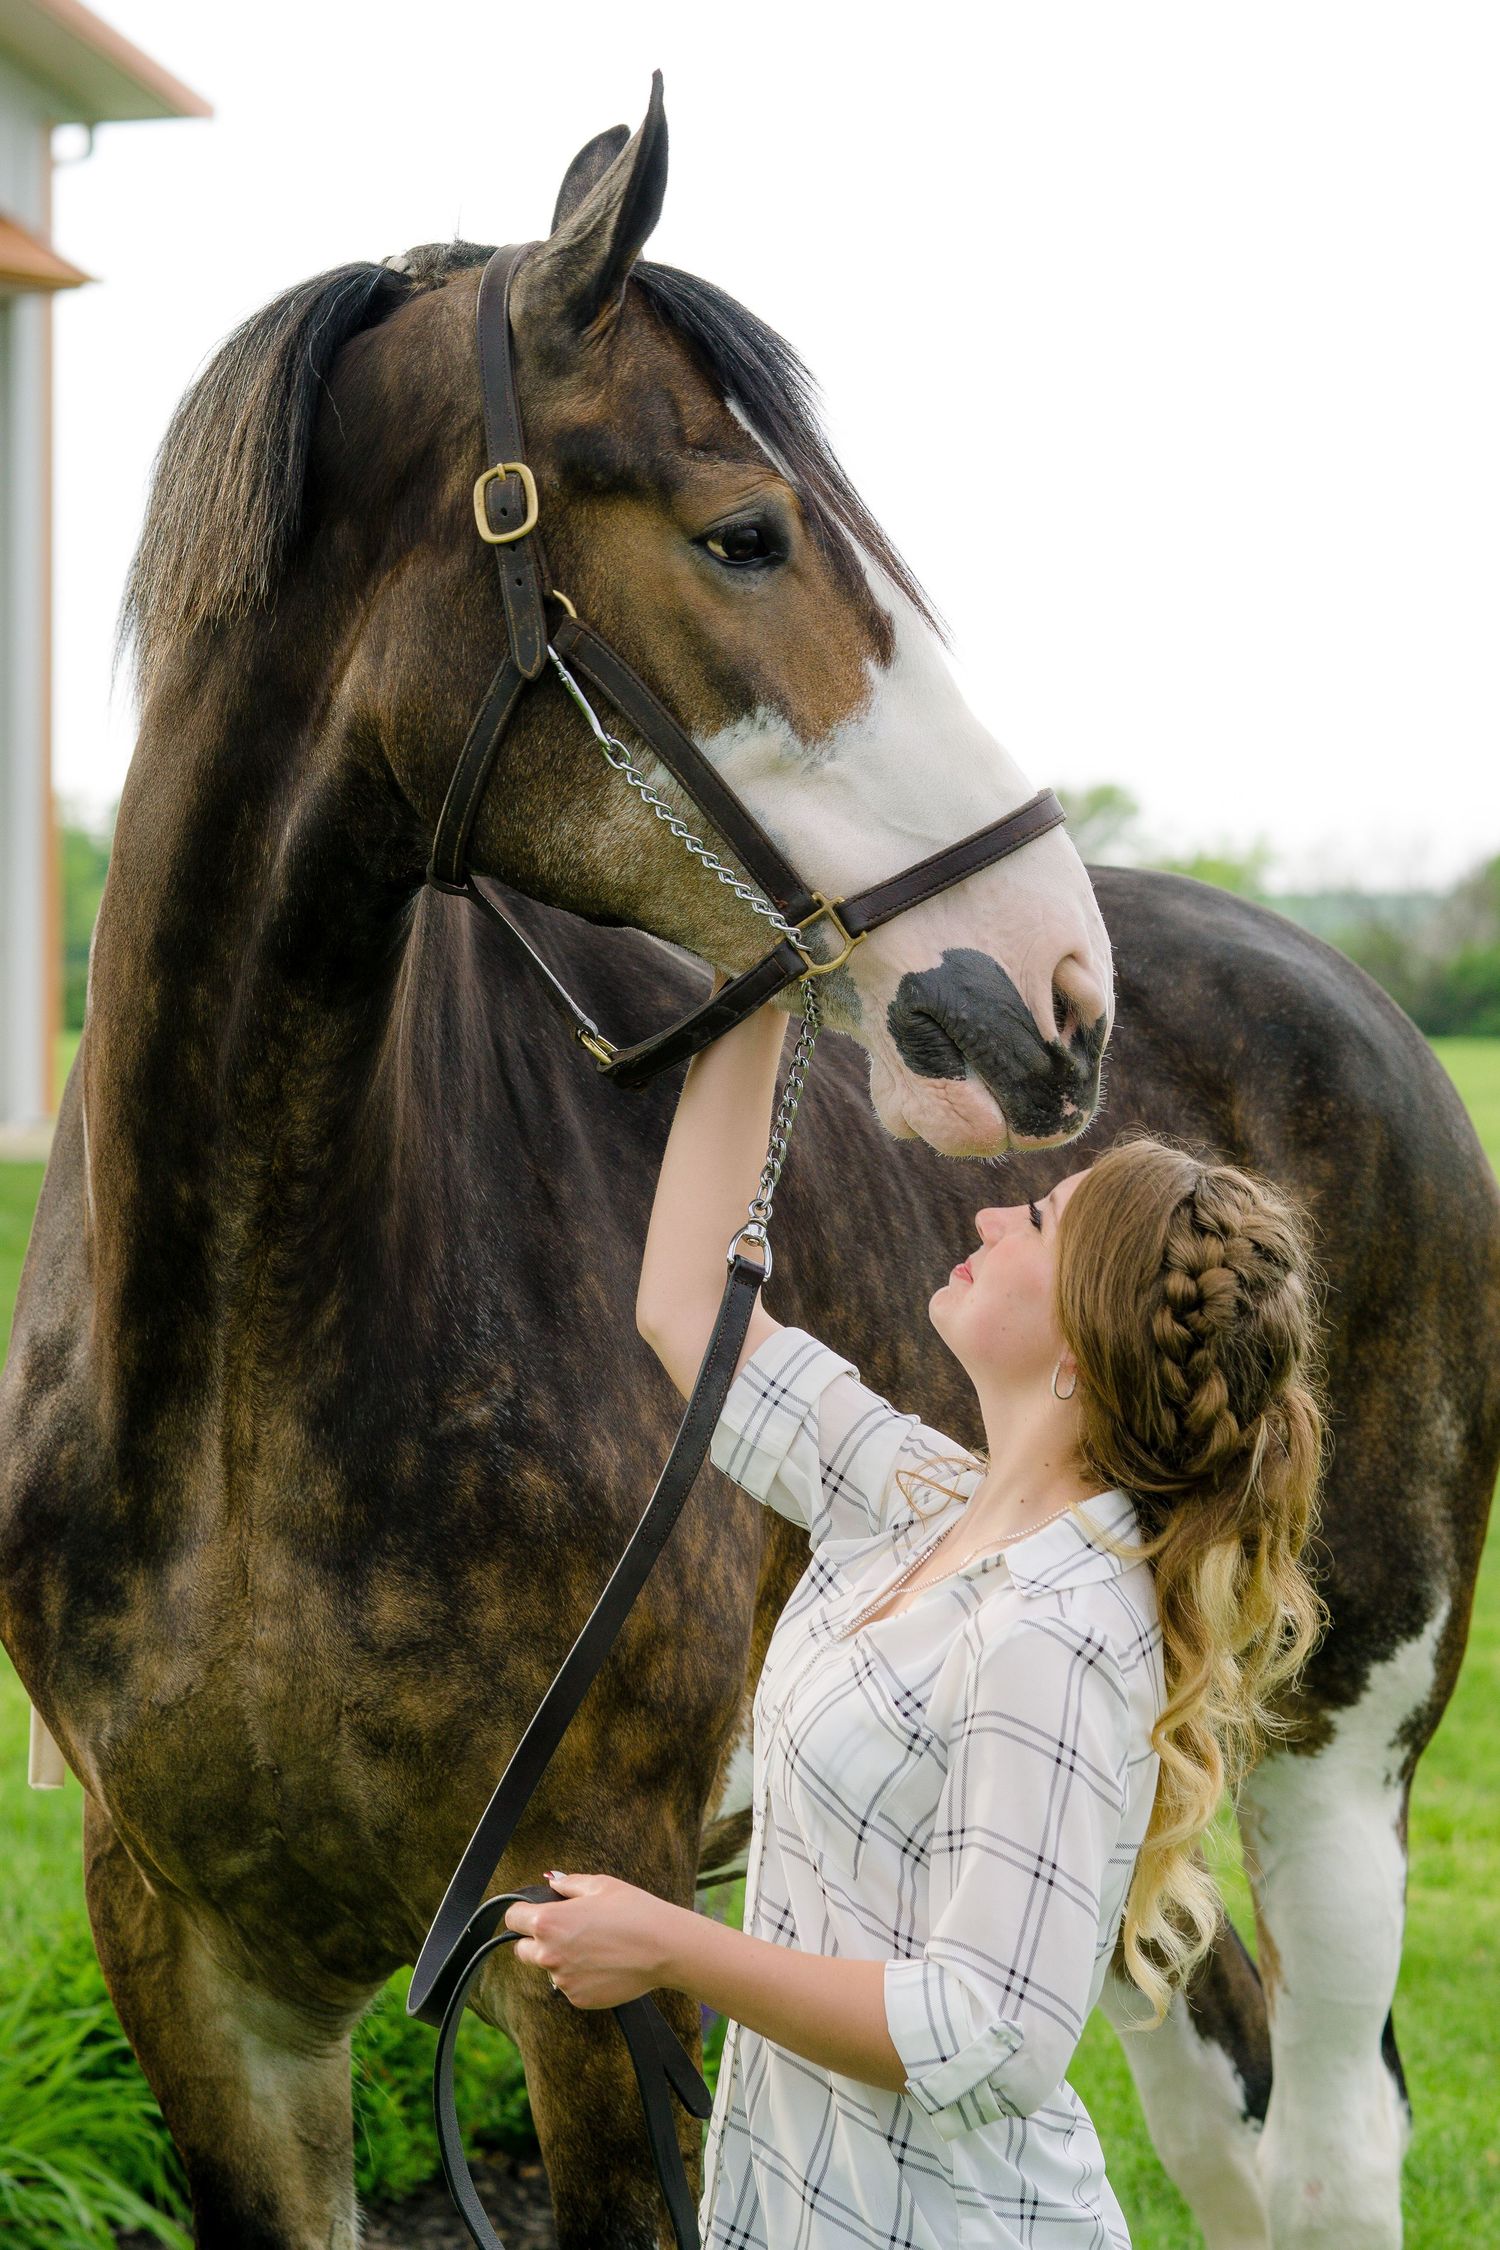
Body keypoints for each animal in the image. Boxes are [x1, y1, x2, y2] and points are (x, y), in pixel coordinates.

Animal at [2, 79, 1495, 2250]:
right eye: (744, 532)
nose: (1055, 993)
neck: (235, 1394)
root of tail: (1350, 998)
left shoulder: (590, 1944)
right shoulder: (196, 1967)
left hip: (1347, 1748)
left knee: (1319, 2147)